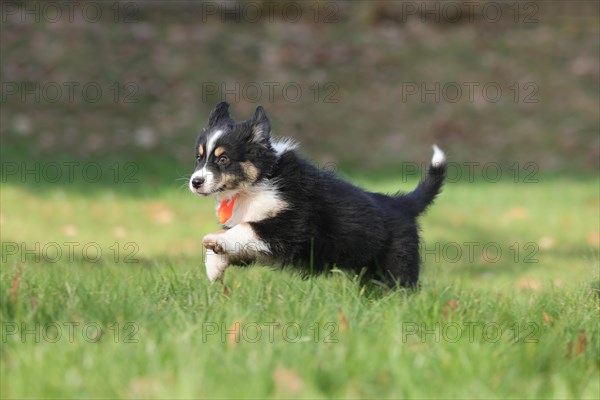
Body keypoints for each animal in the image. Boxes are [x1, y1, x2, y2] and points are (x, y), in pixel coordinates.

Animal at [188, 101, 446, 286]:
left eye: (223, 159)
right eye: (199, 157)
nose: (195, 182)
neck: (257, 183)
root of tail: (402, 204)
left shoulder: (288, 227)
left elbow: (247, 227)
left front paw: (213, 243)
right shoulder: (257, 245)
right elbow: (232, 240)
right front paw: (214, 269)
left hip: (395, 266)